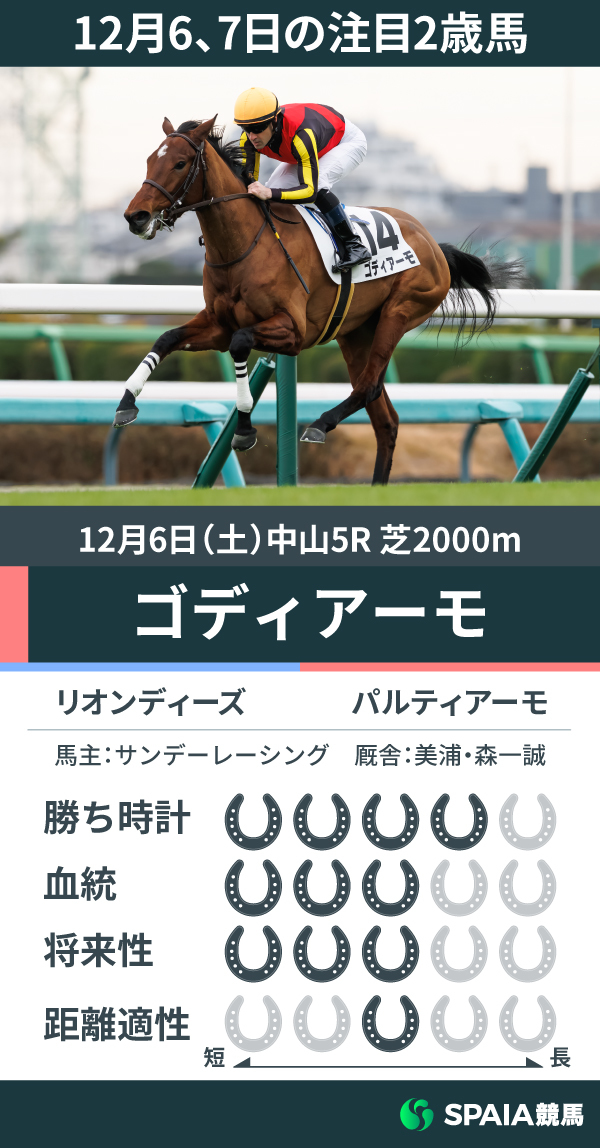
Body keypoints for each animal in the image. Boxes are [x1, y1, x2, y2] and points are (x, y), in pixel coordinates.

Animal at [117, 114, 523, 485]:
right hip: (356, 334)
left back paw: (320, 424)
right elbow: (166, 339)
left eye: (180, 162)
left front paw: (245, 429)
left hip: (400, 311)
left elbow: (241, 343)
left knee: (368, 386)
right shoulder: (218, 325)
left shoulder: (292, 331)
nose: (135, 216)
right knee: (385, 419)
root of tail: (433, 243)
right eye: (151, 160)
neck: (245, 245)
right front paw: (126, 403)